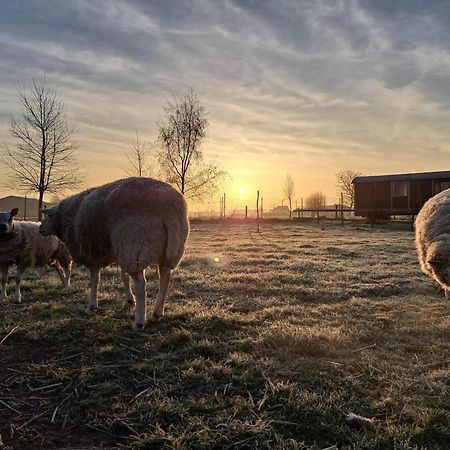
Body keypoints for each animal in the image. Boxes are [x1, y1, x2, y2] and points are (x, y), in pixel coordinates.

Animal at [39, 177, 192, 330]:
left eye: (46, 218)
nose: (40, 229)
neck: (65, 219)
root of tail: (169, 207)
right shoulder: (118, 251)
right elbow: (123, 276)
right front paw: (129, 301)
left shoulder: (93, 254)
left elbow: (95, 280)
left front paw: (91, 307)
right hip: (166, 251)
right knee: (165, 278)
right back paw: (156, 313)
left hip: (133, 245)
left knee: (141, 285)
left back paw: (139, 322)